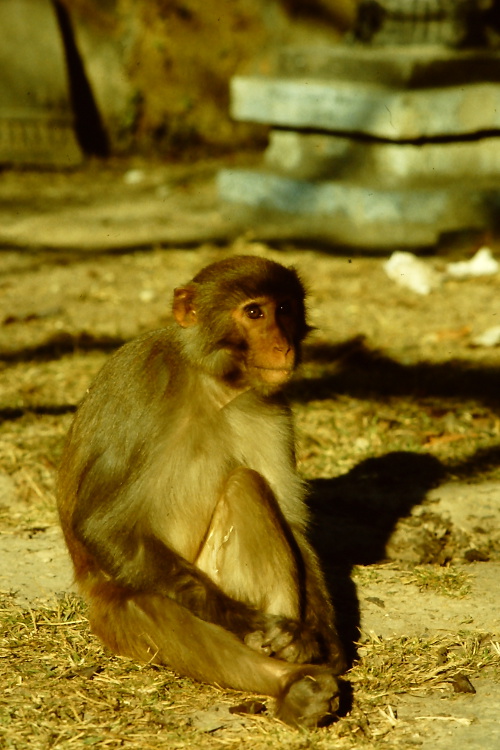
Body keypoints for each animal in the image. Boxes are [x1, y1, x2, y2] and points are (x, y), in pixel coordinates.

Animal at [58, 258, 346, 728]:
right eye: (254, 313)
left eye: (284, 308)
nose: (282, 346)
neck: (213, 383)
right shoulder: (144, 386)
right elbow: (102, 525)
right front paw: (250, 624)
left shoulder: (273, 411)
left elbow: (293, 523)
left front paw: (323, 641)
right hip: (116, 611)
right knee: (155, 611)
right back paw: (285, 678)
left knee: (247, 485)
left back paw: (296, 660)